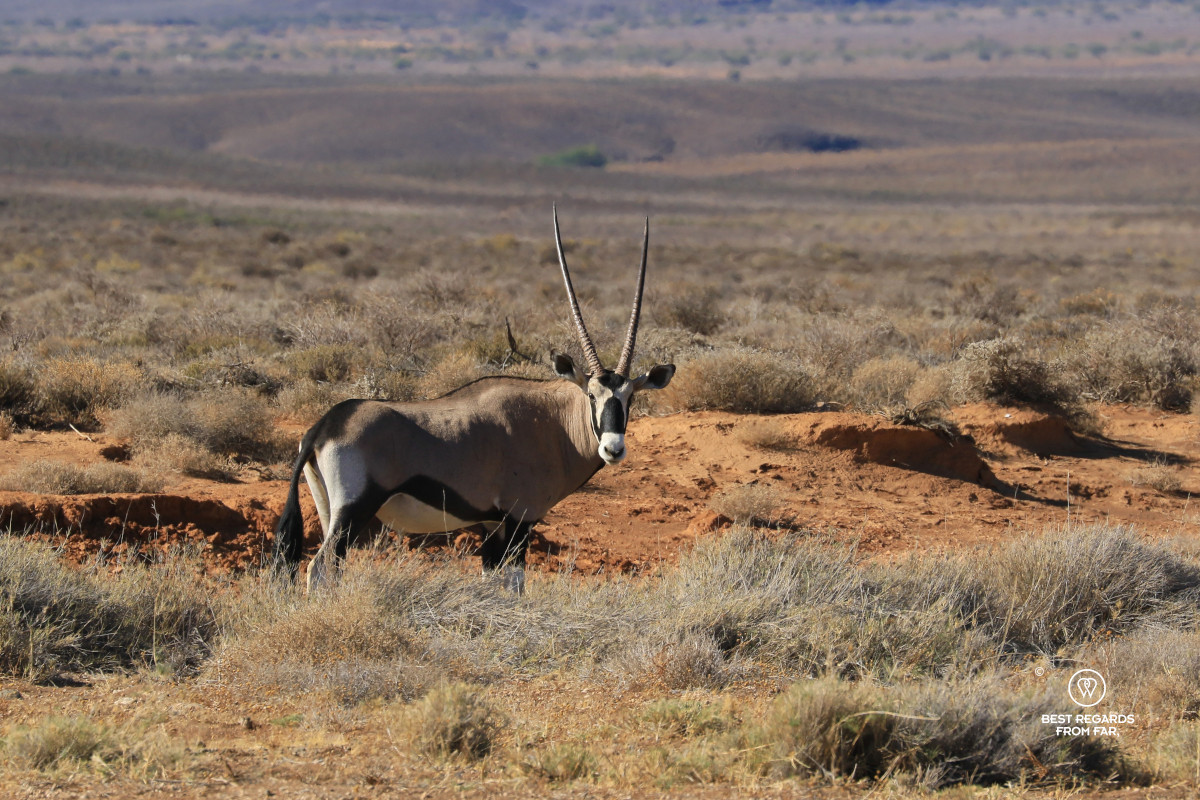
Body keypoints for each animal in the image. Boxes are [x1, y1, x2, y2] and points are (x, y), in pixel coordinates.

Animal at [271, 209, 676, 592]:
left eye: (630, 398)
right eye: (592, 394)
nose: (613, 448)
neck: (552, 423)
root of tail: (323, 427)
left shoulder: (490, 523)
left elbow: (491, 582)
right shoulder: (519, 519)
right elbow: (515, 584)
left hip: (329, 511)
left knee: (331, 569)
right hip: (353, 511)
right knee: (318, 567)